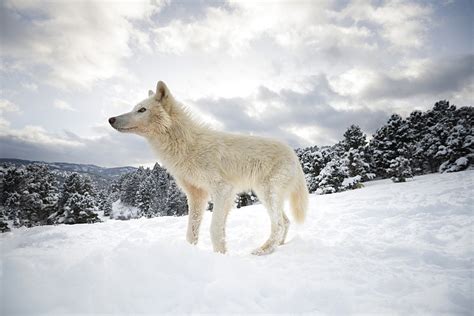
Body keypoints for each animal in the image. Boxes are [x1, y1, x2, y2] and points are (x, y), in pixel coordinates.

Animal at [109, 81, 310, 254]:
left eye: (142, 110)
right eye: (134, 108)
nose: (111, 119)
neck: (187, 145)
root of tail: (292, 153)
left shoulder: (224, 190)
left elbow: (215, 230)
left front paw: (220, 255)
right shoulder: (197, 195)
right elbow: (191, 231)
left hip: (266, 192)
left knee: (279, 224)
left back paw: (261, 251)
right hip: (265, 195)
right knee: (286, 221)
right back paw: (278, 247)